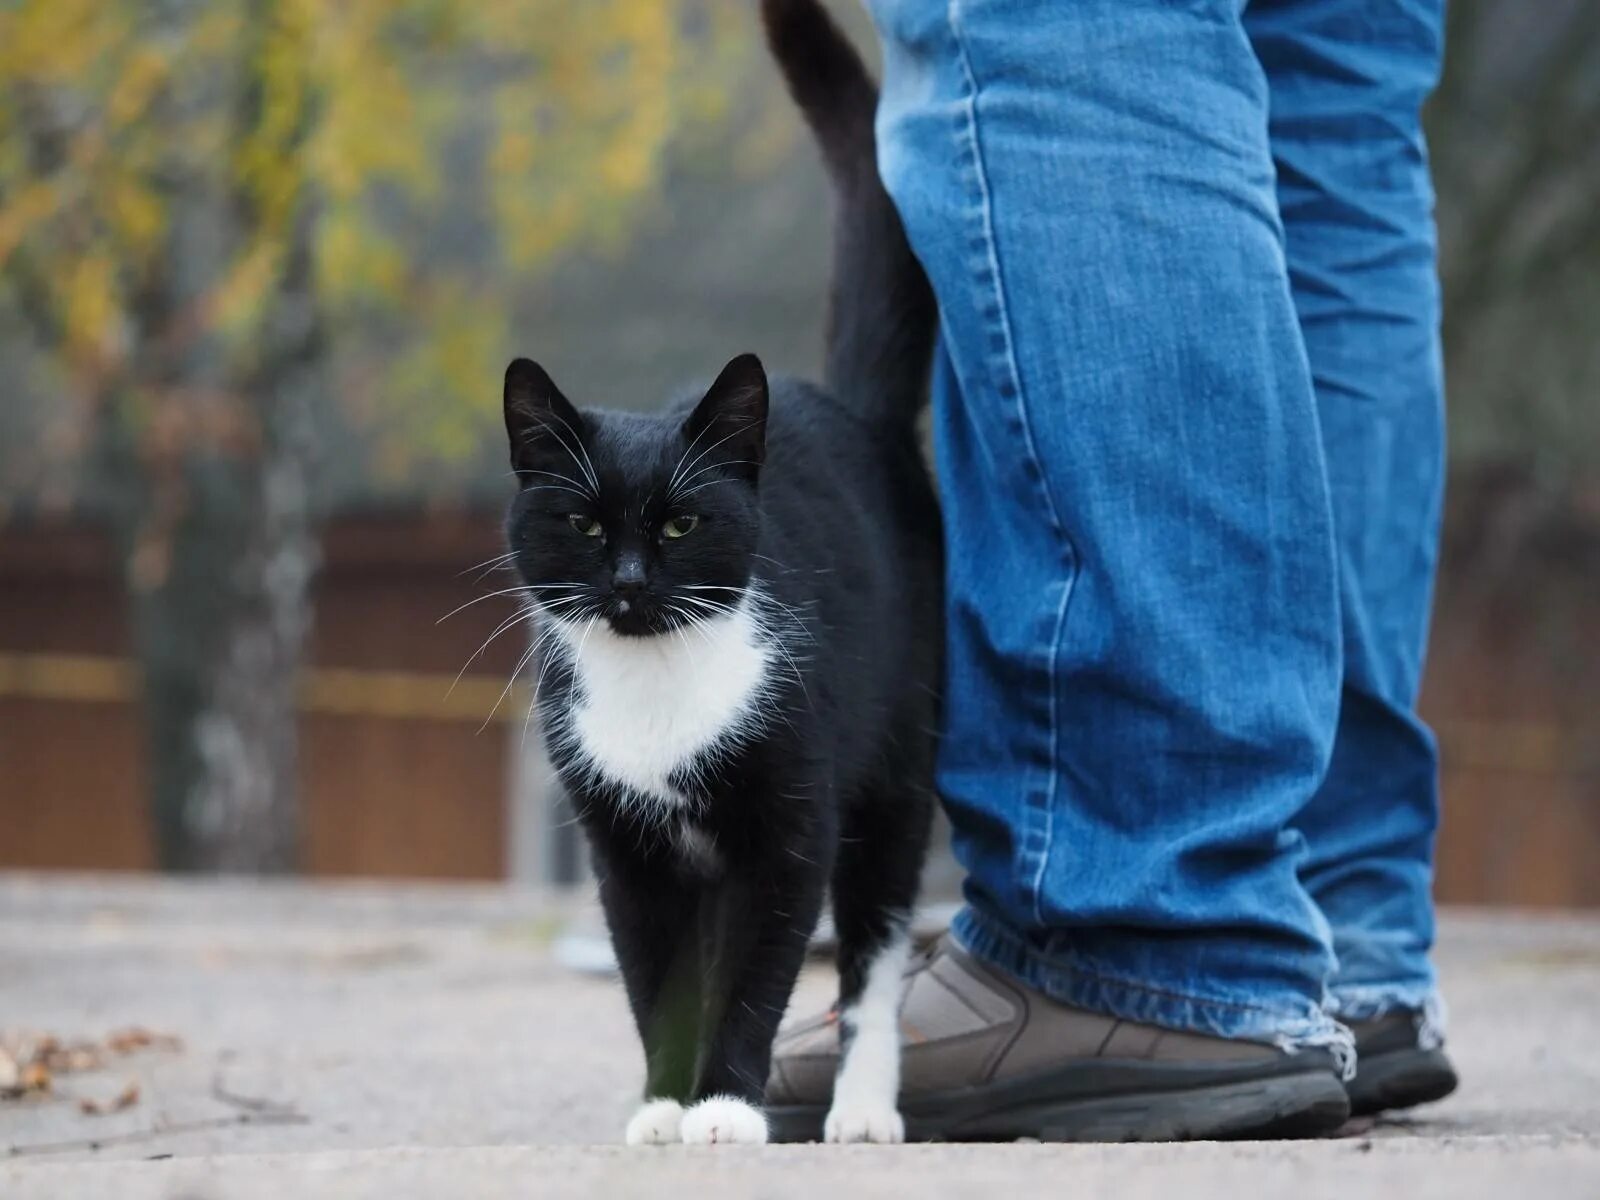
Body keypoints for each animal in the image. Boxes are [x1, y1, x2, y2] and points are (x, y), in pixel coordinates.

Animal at [502, 0, 934, 1145]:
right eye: (582, 523)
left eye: (683, 522)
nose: (631, 580)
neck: (659, 689)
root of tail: (852, 411)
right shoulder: (626, 849)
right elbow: (658, 983)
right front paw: (663, 1103)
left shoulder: (788, 829)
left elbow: (758, 976)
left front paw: (730, 1107)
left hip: (897, 765)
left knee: (875, 953)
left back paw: (862, 1108)